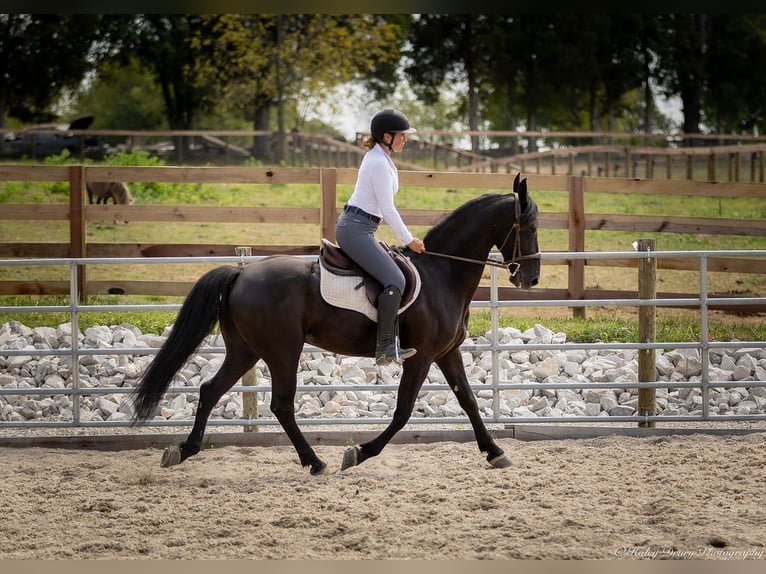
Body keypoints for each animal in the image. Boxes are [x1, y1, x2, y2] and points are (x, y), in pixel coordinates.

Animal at [130, 174, 540, 476]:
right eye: (529, 225)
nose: (531, 279)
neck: (442, 272)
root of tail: (240, 274)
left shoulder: (447, 353)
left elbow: (468, 400)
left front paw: (495, 452)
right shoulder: (421, 357)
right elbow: (403, 412)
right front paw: (358, 452)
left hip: (245, 351)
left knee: (210, 390)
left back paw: (184, 450)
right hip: (282, 351)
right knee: (281, 405)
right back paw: (315, 462)